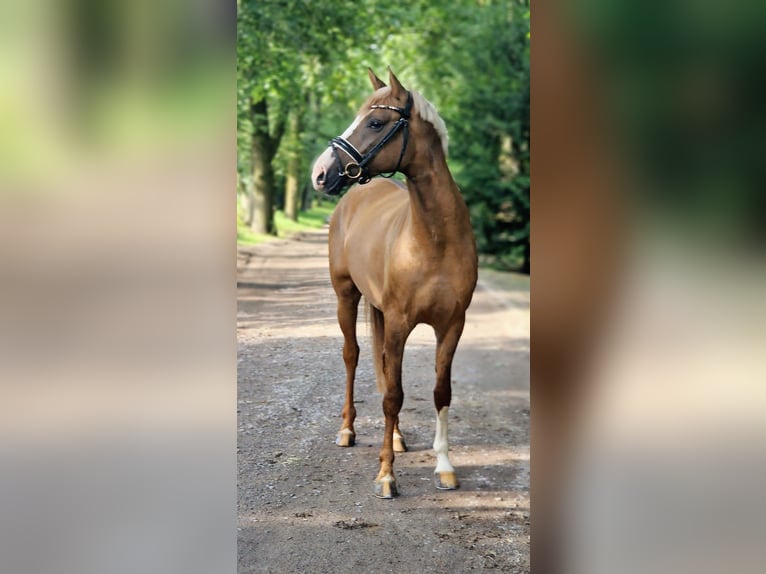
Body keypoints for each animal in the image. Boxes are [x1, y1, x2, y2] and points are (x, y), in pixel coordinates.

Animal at [312, 68, 480, 500]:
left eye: (375, 122)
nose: (320, 173)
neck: (433, 240)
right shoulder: (401, 323)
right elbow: (392, 396)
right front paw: (387, 475)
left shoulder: (451, 325)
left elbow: (439, 392)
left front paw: (445, 468)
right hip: (346, 298)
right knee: (352, 356)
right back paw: (348, 431)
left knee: (385, 367)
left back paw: (400, 439)